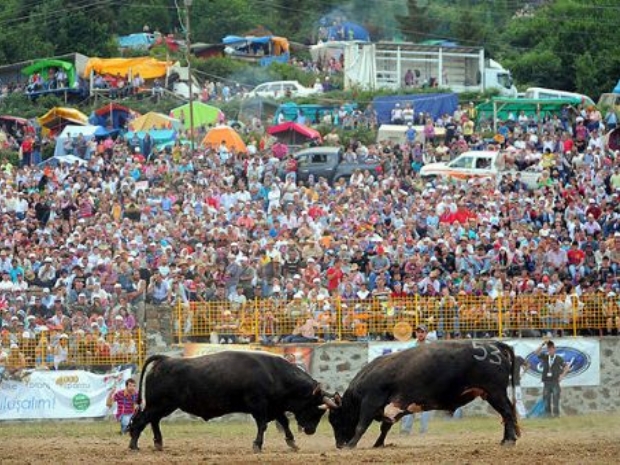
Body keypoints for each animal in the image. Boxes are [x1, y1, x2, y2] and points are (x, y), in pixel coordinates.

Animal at [128, 352, 336, 450]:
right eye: (316, 408)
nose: (310, 430)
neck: (274, 374)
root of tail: (165, 359)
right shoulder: (260, 407)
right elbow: (262, 425)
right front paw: (257, 445)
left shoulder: (274, 407)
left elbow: (284, 422)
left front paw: (292, 443)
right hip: (159, 404)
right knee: (141, 420)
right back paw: (134, 446)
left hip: (162, 406)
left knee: (153, 421)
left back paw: (158, 443)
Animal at [326, 338, 520, 448]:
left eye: (335, 419)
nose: (338, 445)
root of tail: (493, 345)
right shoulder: (392, 408)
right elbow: (385, 427)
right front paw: (378, 444)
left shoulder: (371, 402)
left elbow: (361, 425)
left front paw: (352, 445)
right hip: (491, 393)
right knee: (506, 414)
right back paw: (505, 440)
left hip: (495, 392)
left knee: (507, 413)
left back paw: (509, 441)